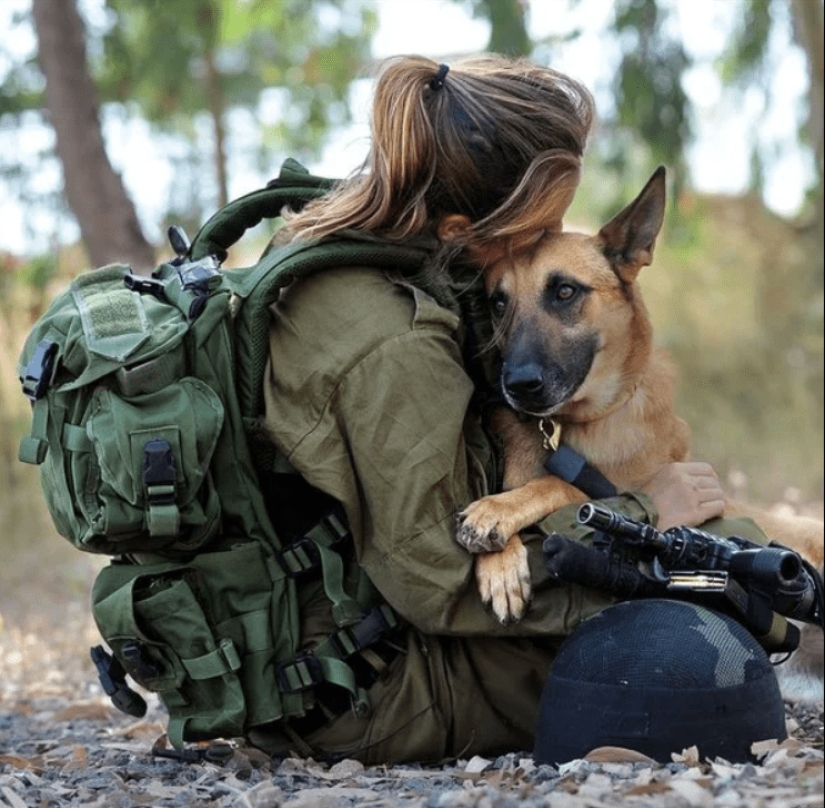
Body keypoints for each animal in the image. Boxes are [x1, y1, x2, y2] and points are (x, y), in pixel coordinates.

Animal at [458, 167, 824, 696]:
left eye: (564, 292)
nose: (518, 385)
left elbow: (559, 484)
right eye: (498, 302)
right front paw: (500, 557)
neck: (575, 425)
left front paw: (496, 513)